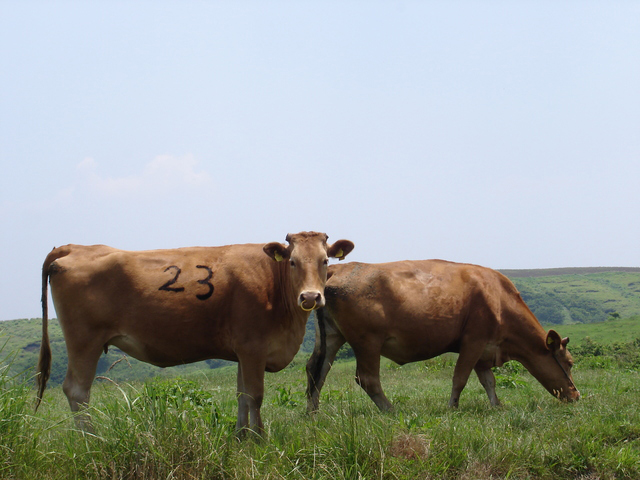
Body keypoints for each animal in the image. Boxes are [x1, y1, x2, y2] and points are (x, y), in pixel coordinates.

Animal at [36, 231, 356, 436]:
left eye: (325, 261)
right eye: (292, 262)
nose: (311, 297)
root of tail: (76, 247)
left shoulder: (242, 351)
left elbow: (241, 395)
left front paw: (240, 438)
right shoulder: (253, 347)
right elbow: (255, 395)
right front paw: (259, 440)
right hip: (84, 341)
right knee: (77, 391)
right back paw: (92, 441)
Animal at [304, 258, 580, 412]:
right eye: (569, 362)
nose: (577, 395)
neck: (499, 299)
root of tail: (340, 268)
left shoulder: (484, 350)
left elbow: (488, 380)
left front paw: (497, 405)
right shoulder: (473, 341)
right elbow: (460, 378)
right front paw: (452, 407)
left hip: (331, 336)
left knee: (316, 372)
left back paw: (313, 413)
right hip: (367, 341)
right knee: (367, 379)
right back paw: (391, 410)